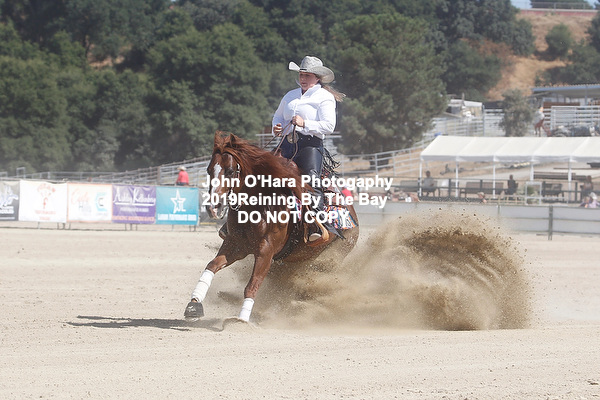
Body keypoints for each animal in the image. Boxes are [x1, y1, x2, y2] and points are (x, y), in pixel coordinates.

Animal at [184, 131, 359, 323]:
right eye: (209, 170)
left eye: (230, 171)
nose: (212, 207)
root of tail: (352, 215)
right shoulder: (235, 245)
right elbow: (211, 266)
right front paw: (193, 305)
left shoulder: (265, 251)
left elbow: (252, 285)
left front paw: (241, 321)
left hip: (331, 259)